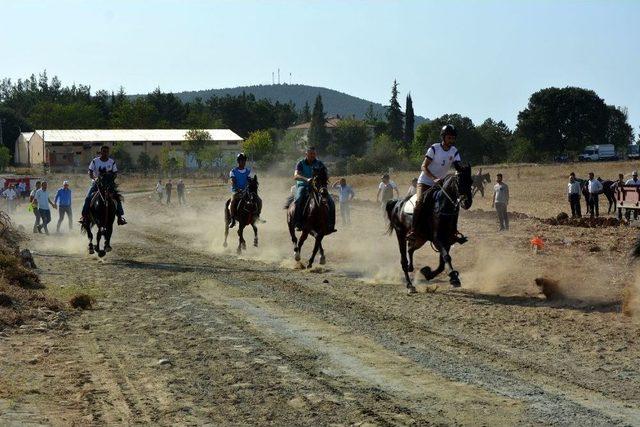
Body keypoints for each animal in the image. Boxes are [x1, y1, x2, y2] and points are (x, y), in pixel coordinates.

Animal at [384, 164, 476, 294]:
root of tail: (397, 203)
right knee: (403, 259)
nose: (467, 202)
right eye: (458, 181)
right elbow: (446, 257)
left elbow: (442, 263)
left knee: (410, 249)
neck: (442, 207)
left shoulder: (447, 240)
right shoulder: (437, 239)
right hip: (400, 234)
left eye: (471, 181)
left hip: (420, 238)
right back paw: (410, 285)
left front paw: (428, 273)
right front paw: (454, 278)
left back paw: (411, 268)